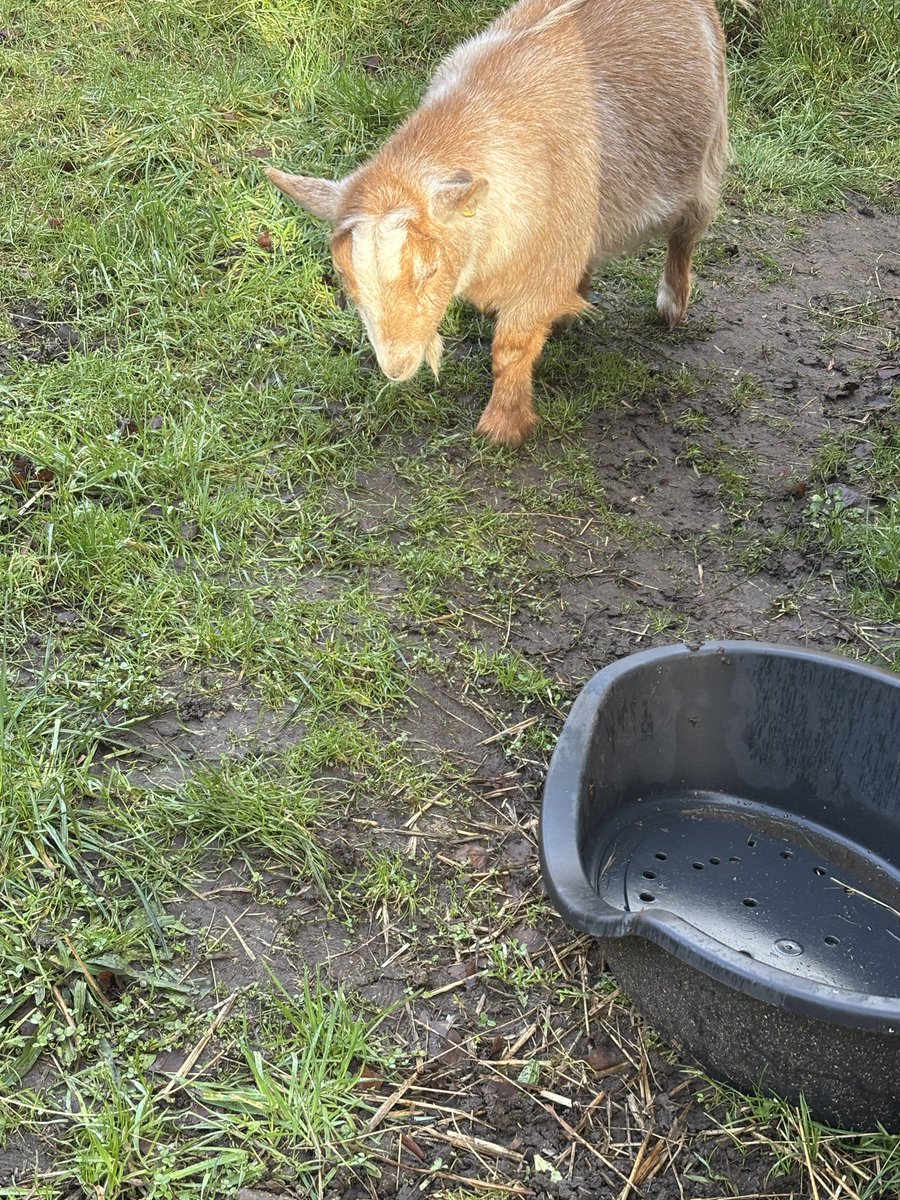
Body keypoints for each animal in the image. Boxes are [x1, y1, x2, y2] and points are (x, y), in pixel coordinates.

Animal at [268, 0, 728, 447]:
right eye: (345, 277)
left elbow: (510, 349)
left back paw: (671, 305)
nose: (396, 367)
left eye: (430, 270)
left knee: (685, 236)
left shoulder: (539, 272)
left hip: (707, 161)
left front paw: (503, 427)